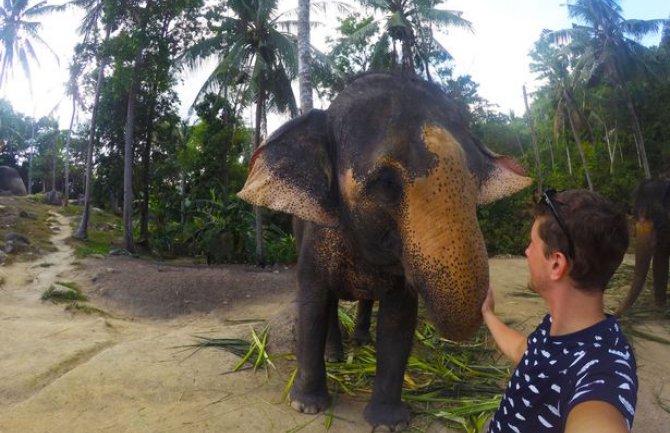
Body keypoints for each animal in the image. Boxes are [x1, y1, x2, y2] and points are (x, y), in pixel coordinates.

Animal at [239, 72, 532, 430]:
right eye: (385, 182)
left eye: (475, 177)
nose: (488, 303)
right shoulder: (315, 239)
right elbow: (312, 304)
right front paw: (306, 406)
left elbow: (398, 319)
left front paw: (388, 423)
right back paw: (335, 355)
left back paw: (361, 340)